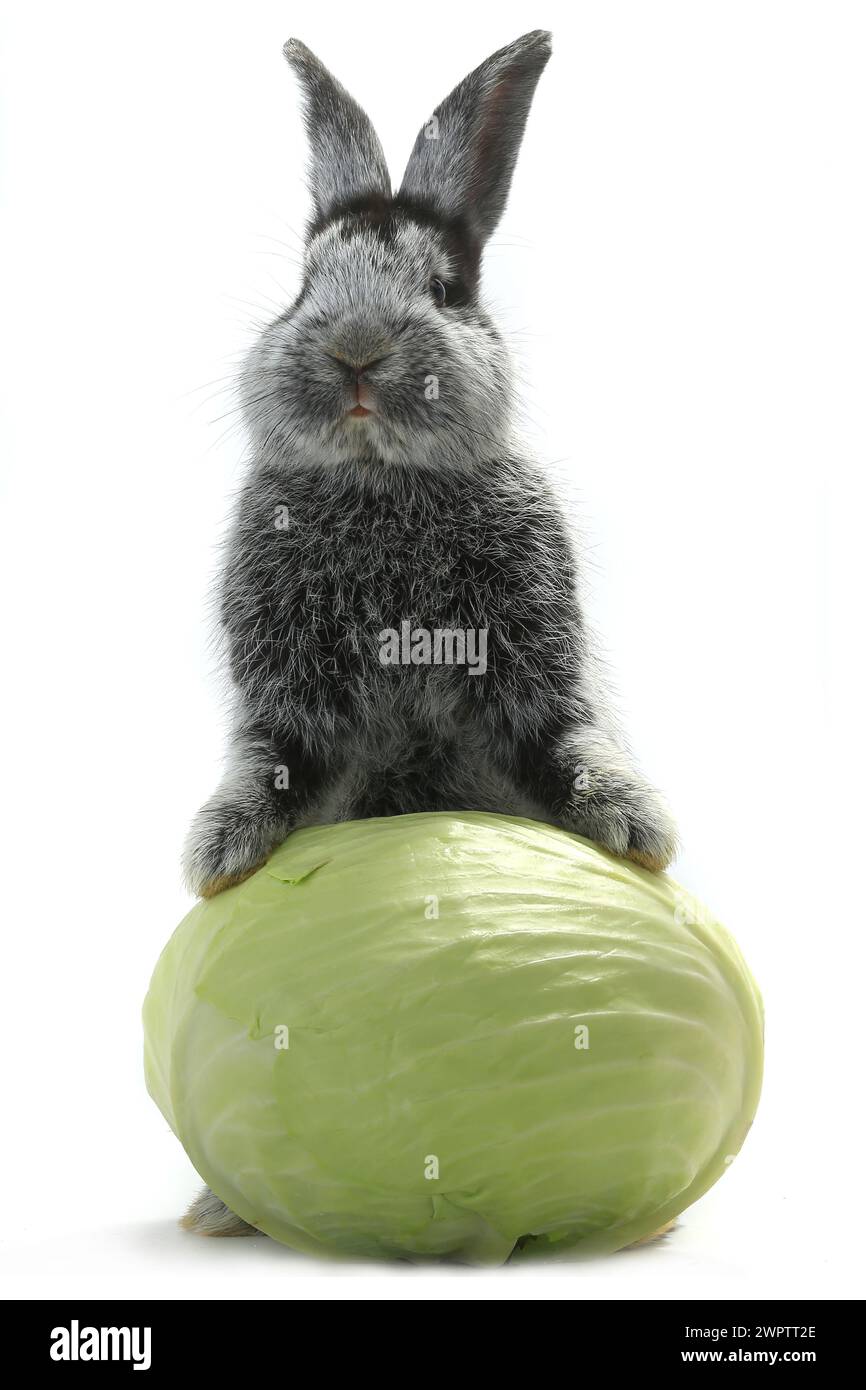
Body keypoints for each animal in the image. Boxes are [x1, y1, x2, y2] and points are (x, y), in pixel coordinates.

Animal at [180, 31, 678, 1236]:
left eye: (446, 291)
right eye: (302, 285)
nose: (357, 352)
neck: (379, 487)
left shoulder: (537, 676)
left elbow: (567, 749)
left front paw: (638, 835)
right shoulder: (285, 706)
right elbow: (266, 771)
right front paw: (215, 860)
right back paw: (217, 1210)